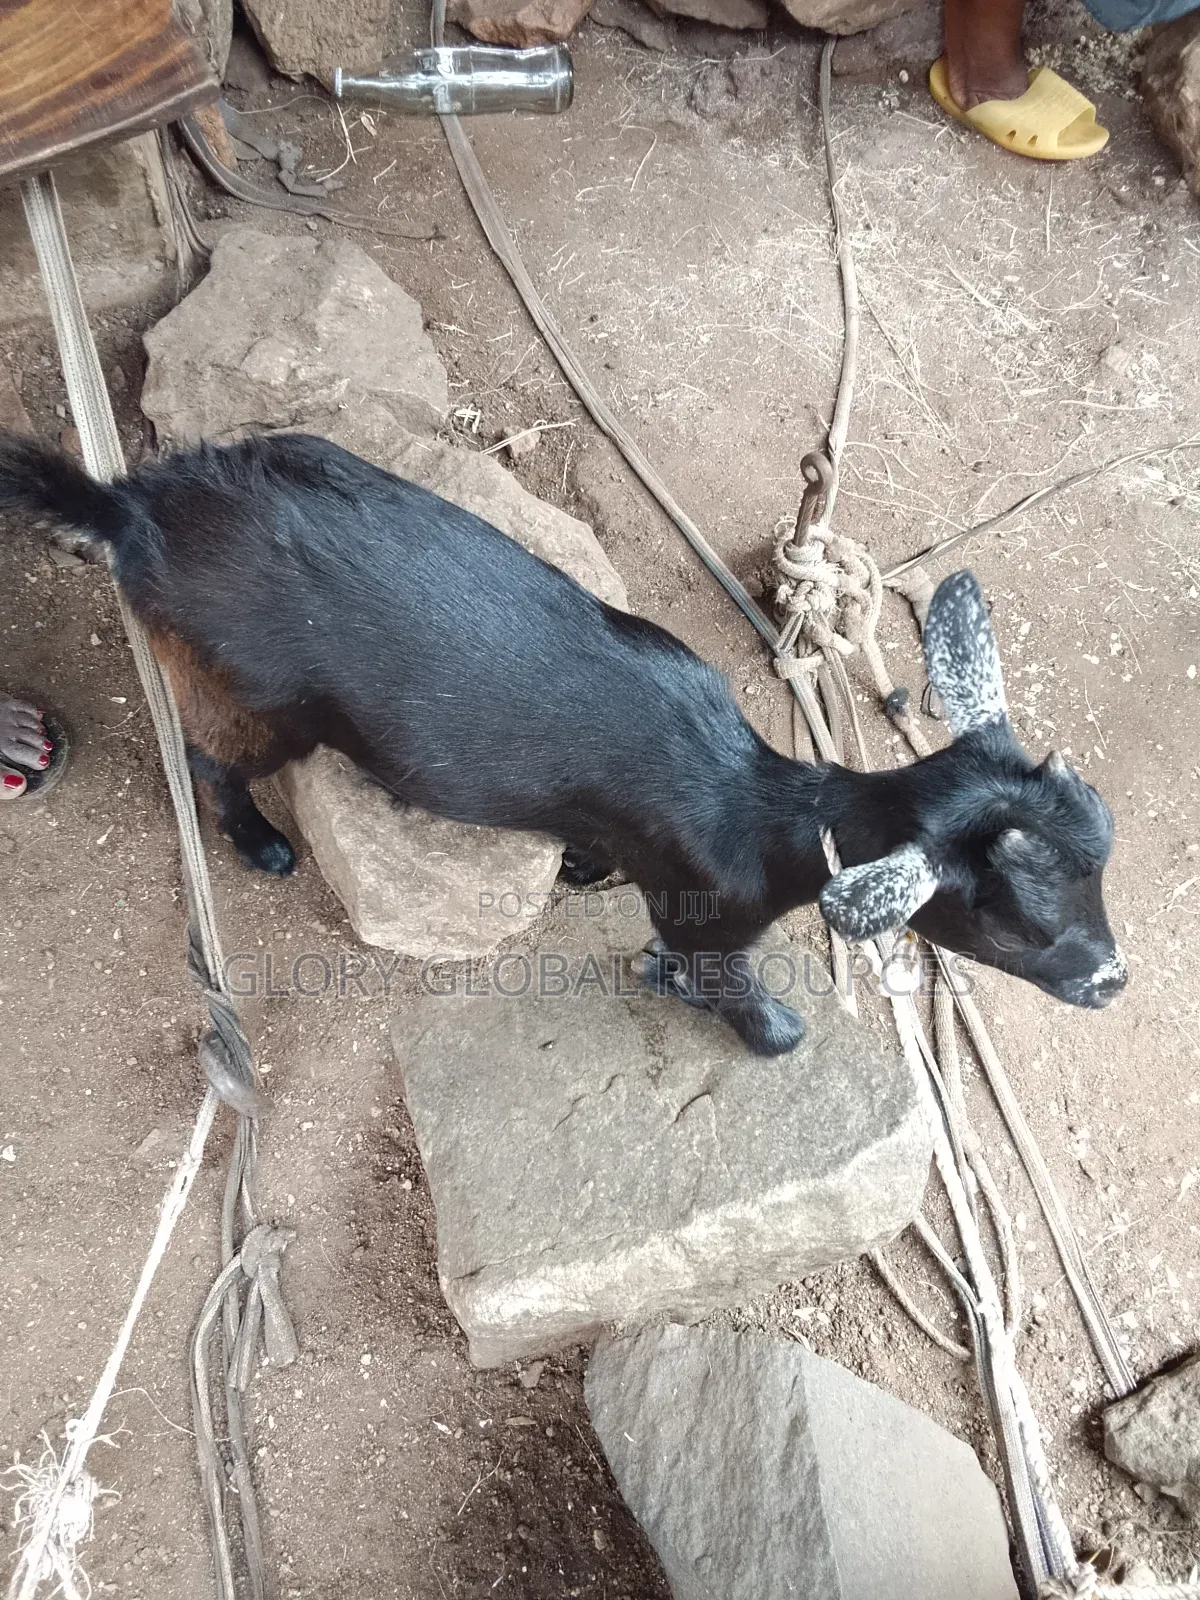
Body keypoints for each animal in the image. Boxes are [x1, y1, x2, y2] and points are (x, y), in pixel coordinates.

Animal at [0, 430, 1126, 1055]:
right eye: (1014, 924)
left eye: (1101, 858)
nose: (1112, 982)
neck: (763, 814)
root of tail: (130, 507)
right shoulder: (704, 911)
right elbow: (722, 986)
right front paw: (766, 1029)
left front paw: (583, 867)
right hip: (248, 690)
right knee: (204, 755)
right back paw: (260, 843)